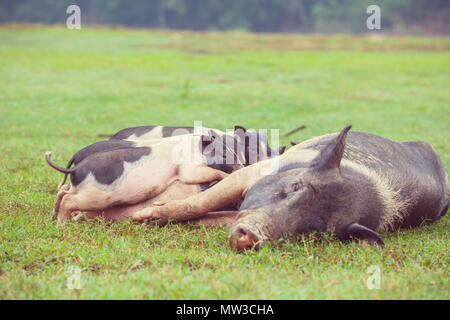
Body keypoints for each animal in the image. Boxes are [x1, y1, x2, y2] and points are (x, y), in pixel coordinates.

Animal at [132, 125, 448, 250]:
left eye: (313, 230)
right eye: (295, 186)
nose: (252, 236)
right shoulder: (255, 173)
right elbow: (200, 203)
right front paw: (143, 217)